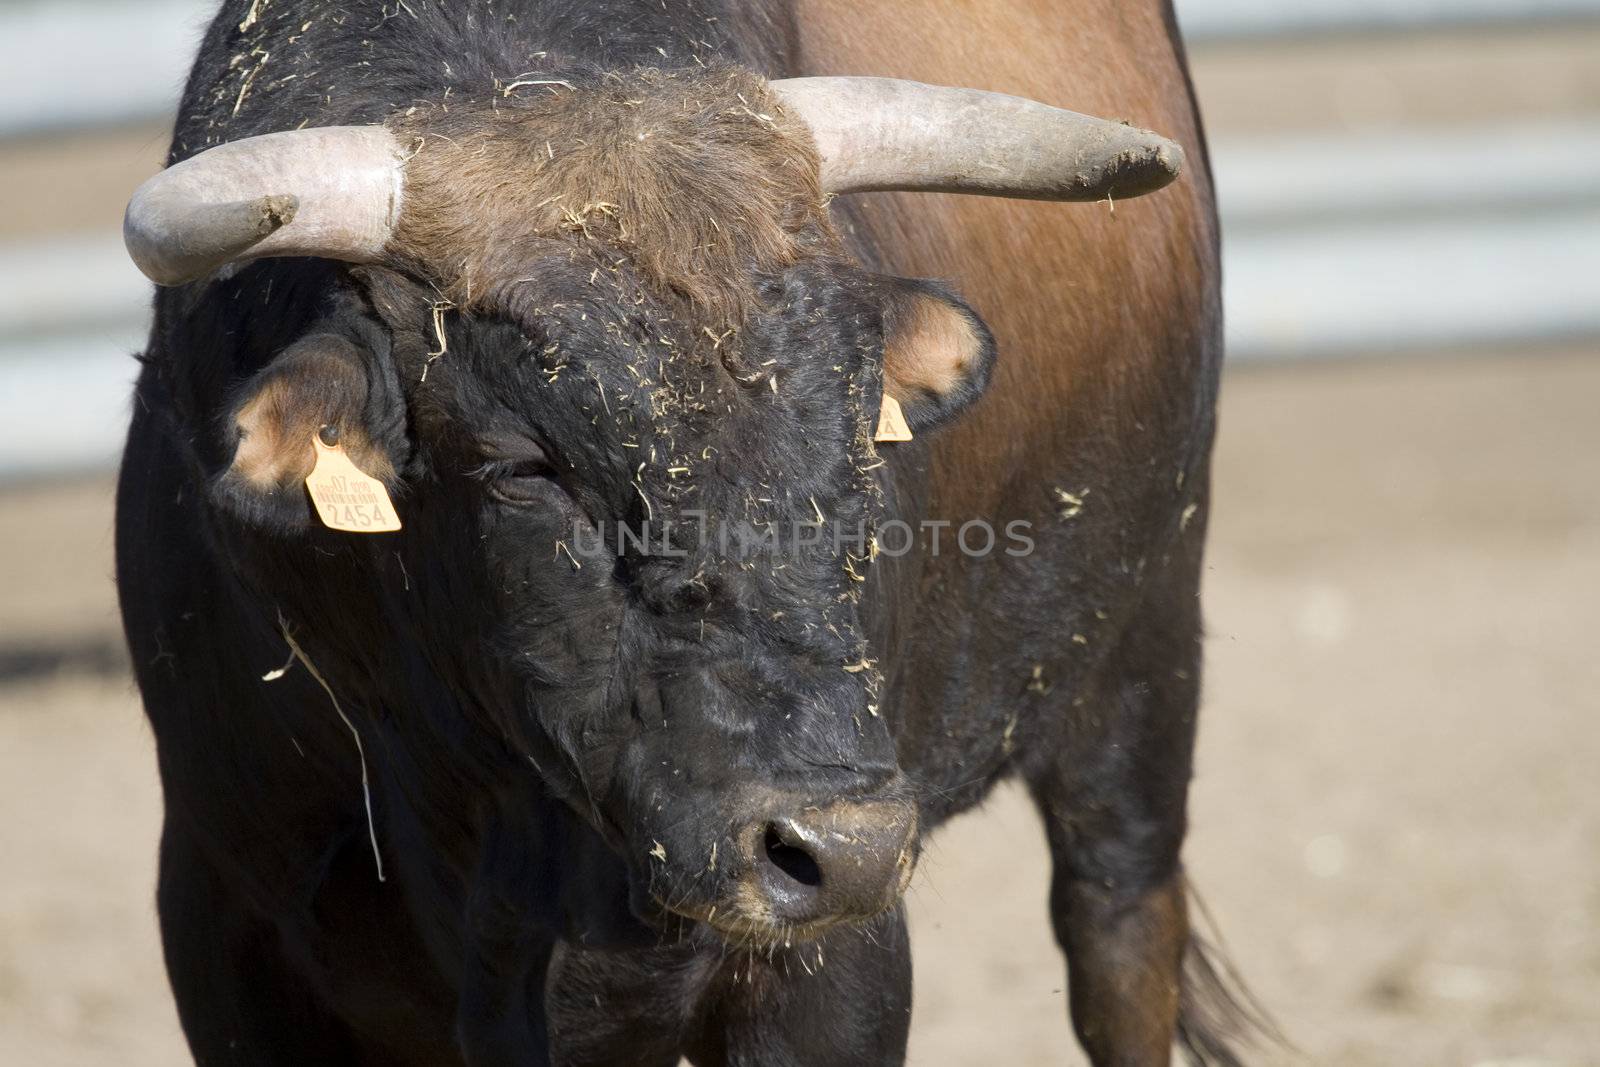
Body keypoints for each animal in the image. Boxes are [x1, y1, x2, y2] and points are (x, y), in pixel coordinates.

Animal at [118, 2, 1254, 1067]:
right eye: (527, 464)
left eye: (858, 416)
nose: (844, 845)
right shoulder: (225, 923)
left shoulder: (830, 964)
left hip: (1137, 683)